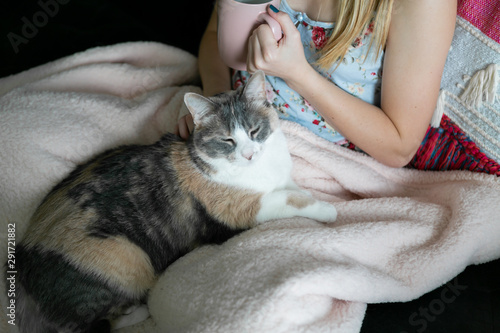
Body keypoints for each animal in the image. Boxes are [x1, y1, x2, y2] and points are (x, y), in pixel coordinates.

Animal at [13, 69, 338, 330]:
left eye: (254, 131)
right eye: (227, 140)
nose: (248, 154)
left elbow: (295, 190)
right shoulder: (242, 209)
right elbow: (291, 200)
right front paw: (329, 210)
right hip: (127, 256)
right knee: (90, 323)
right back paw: (139, 311)